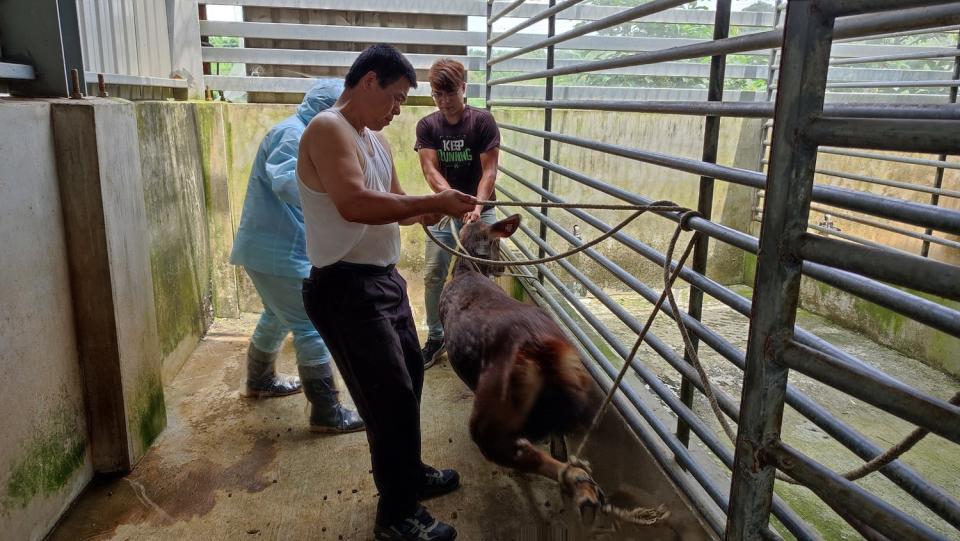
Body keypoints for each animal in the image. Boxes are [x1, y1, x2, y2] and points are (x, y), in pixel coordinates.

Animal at [438, 213, 604, 516]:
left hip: (493, 404)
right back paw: (582, 484)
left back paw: (577, 483)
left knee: (513, 449)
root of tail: (541, 348)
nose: (502, 267)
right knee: (558, 441)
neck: (465, 271)